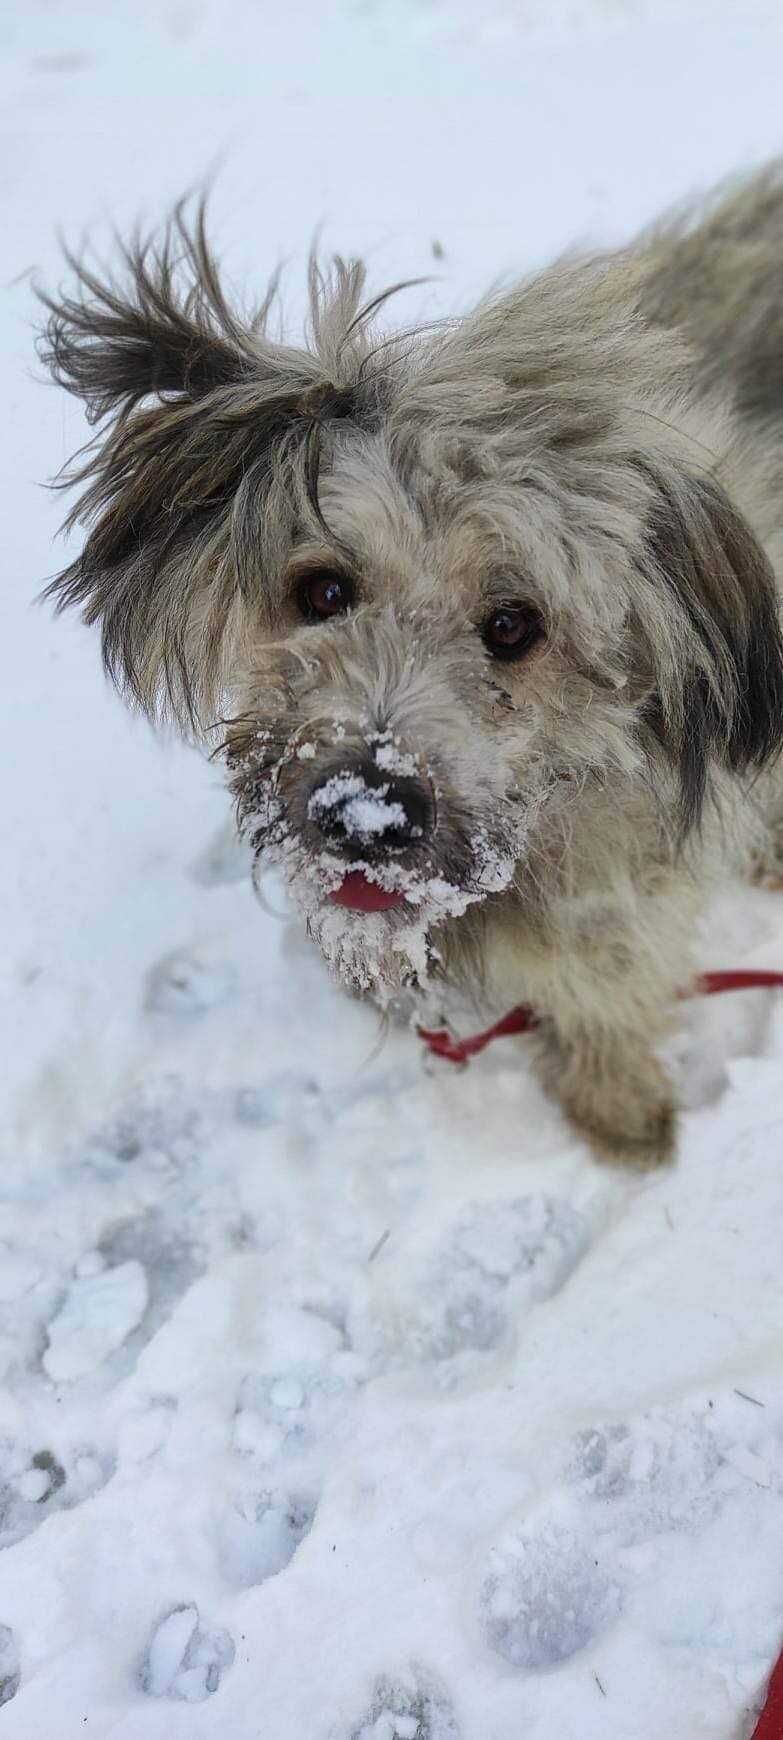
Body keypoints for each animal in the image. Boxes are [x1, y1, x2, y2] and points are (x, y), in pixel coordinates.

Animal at [36, 166, 783, 1169]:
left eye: (512, 624)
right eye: (322, 590)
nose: (365, 816)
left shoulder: (623, 892)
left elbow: (609, 987)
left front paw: (617, 1109)